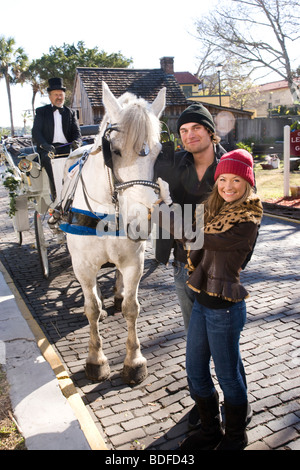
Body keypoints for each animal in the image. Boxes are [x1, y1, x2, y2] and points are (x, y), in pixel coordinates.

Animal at [59, 82, 165, 386]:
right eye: (114, 150)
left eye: (159, 151)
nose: (141, 219)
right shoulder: (82, 265)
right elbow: (91, 308)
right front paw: (96, 360)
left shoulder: (133, 260)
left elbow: (132, 307)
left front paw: (134, 362)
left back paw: (116, 294)